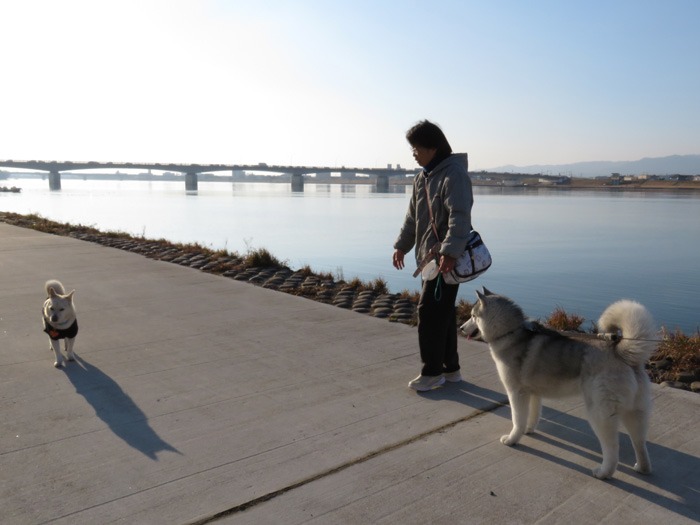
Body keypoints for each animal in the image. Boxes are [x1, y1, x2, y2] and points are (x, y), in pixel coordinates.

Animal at [462, 288, 660, 476]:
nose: (462, 328)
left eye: (472, 315)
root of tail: (622, 353)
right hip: (635, 413)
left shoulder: (516, 393)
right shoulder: (533, 393)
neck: (511, 333)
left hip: (599, 414)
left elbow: (517, 420)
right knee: (639, 443)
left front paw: (512, 439)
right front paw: (528, 430)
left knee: (612, 449)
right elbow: (532, 416)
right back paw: (642, 468)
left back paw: (604, 472)